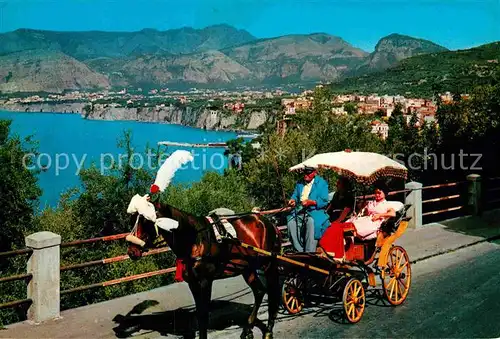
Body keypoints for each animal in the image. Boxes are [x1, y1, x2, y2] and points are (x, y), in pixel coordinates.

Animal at [126, 202, 282, 339]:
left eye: (146, 220)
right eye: (133, 220)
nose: (131, 251)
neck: (194, 240)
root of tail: (268, 223)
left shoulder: (205, 281)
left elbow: (204, 314)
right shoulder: (193, 283)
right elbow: (199, 314)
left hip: (268, 265)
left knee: (273, 292)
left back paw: (268, 330)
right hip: (247, 268)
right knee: (259, 291)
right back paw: (248, 329)